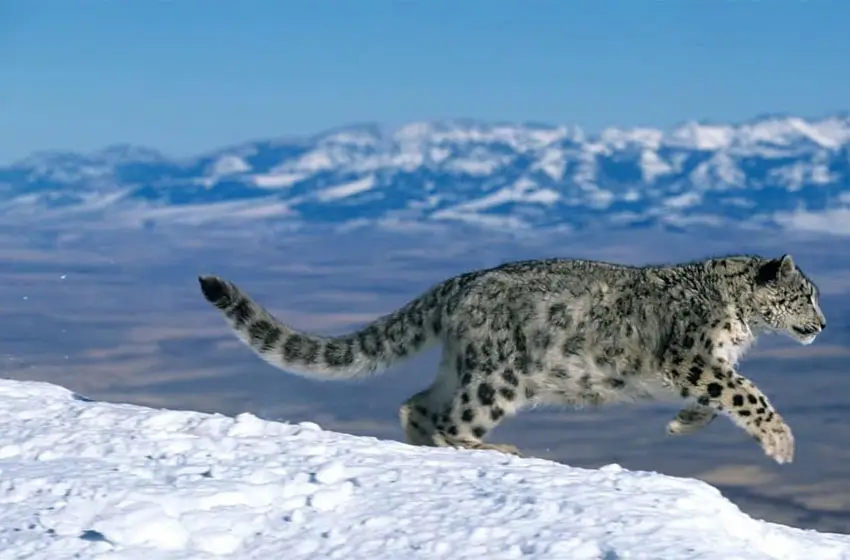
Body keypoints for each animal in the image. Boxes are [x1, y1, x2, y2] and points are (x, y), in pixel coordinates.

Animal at [197, 252, 826, 464]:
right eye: (806, 295)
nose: (822, 326)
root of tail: (461, 282)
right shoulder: (694, 358)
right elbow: (747, 392)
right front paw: (781, 442)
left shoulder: (700, 370)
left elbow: (719, 397)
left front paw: (682, 424)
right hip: (500, 376)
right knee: (455, 418)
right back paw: (491, 449)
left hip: (463, 365)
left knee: (417, 404)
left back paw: (425, 445)